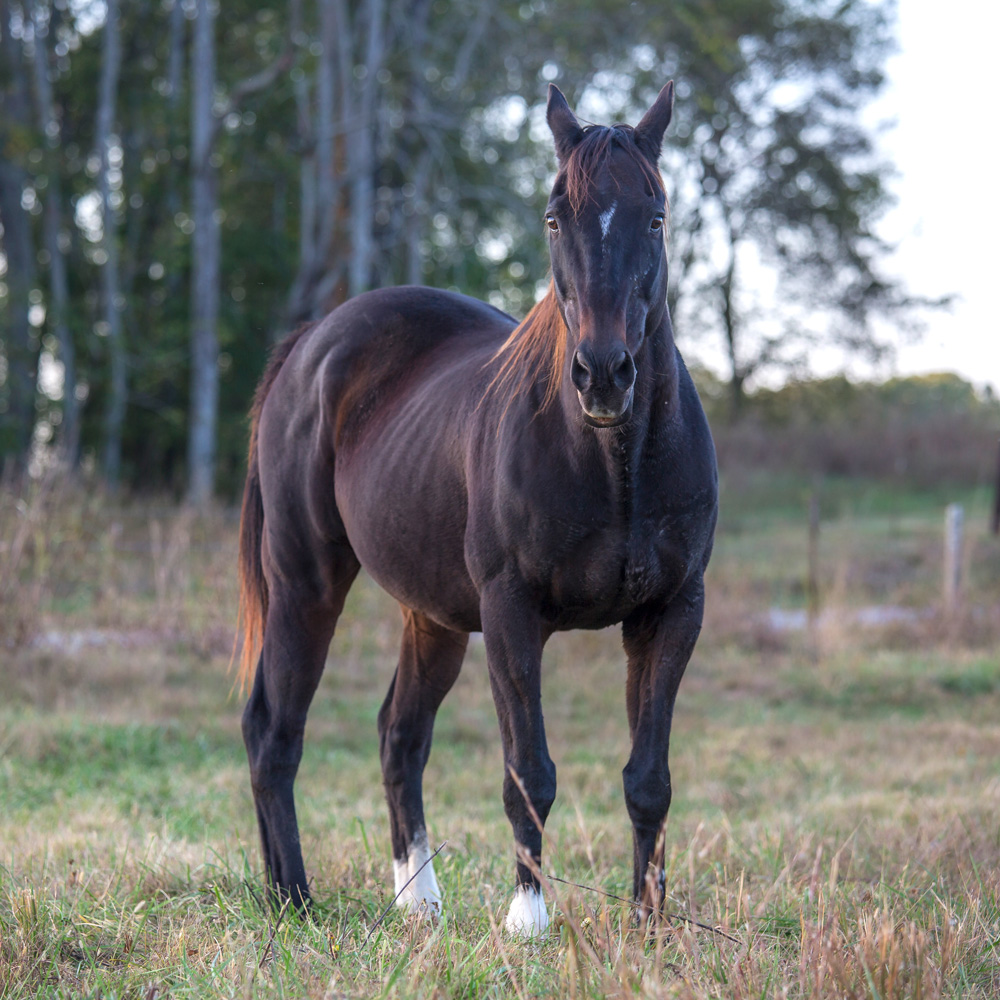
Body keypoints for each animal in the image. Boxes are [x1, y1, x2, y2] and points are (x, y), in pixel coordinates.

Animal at [234, 82, 720, 932]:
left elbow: (648, 778)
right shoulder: (511, 611)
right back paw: (292, 897)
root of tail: (310, 343)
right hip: (306, 584)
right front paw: (529, 920)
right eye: (555, 217)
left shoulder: (671, 613)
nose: (603, 374)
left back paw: (418, 903)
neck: (616, 465)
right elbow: (529, 771)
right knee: (274, 731)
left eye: (656, 216)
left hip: (432, 618)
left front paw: (649, 924)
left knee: (399, 736)